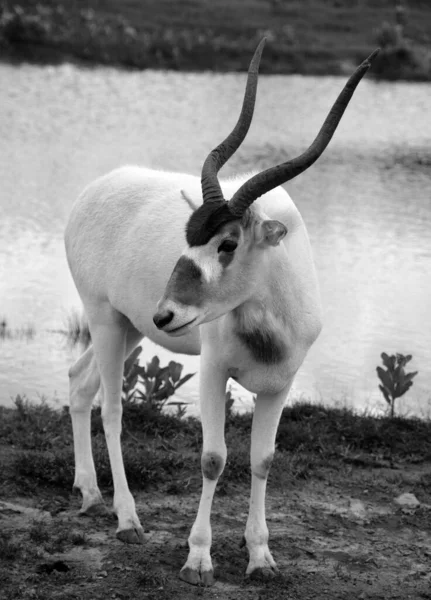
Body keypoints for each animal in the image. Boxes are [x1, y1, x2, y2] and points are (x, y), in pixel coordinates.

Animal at [64, 38, 378, 584]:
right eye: (190, 237)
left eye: (228, 242)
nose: (167, 314)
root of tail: (90, 194)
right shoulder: (213, 371)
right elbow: (213, 458)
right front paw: (198, 559)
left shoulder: (280, 384)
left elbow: (263, 459)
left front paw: (261, 557)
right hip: (104, 319)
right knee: (110, 407)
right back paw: (127, 519)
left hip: (129, 327)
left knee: (79, 382)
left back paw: (89, 494)